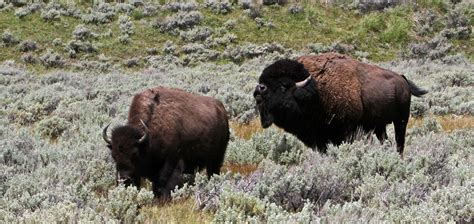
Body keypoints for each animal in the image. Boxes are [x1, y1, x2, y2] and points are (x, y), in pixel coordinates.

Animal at [103, 86, 231, 199]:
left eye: (134, 154)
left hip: (217, 157)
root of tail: (221, 109)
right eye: (113, 156)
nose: (124, 179)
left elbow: (164, 184)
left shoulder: (171, 162)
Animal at [254, 52, 428, 155]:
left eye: (283, 85)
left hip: (401, 120)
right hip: (380, 126)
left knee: (400, 142)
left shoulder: (346, 132)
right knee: (385, 139)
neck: (316, 91)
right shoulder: (320, 139)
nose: (259, 90)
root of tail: (402, 79)